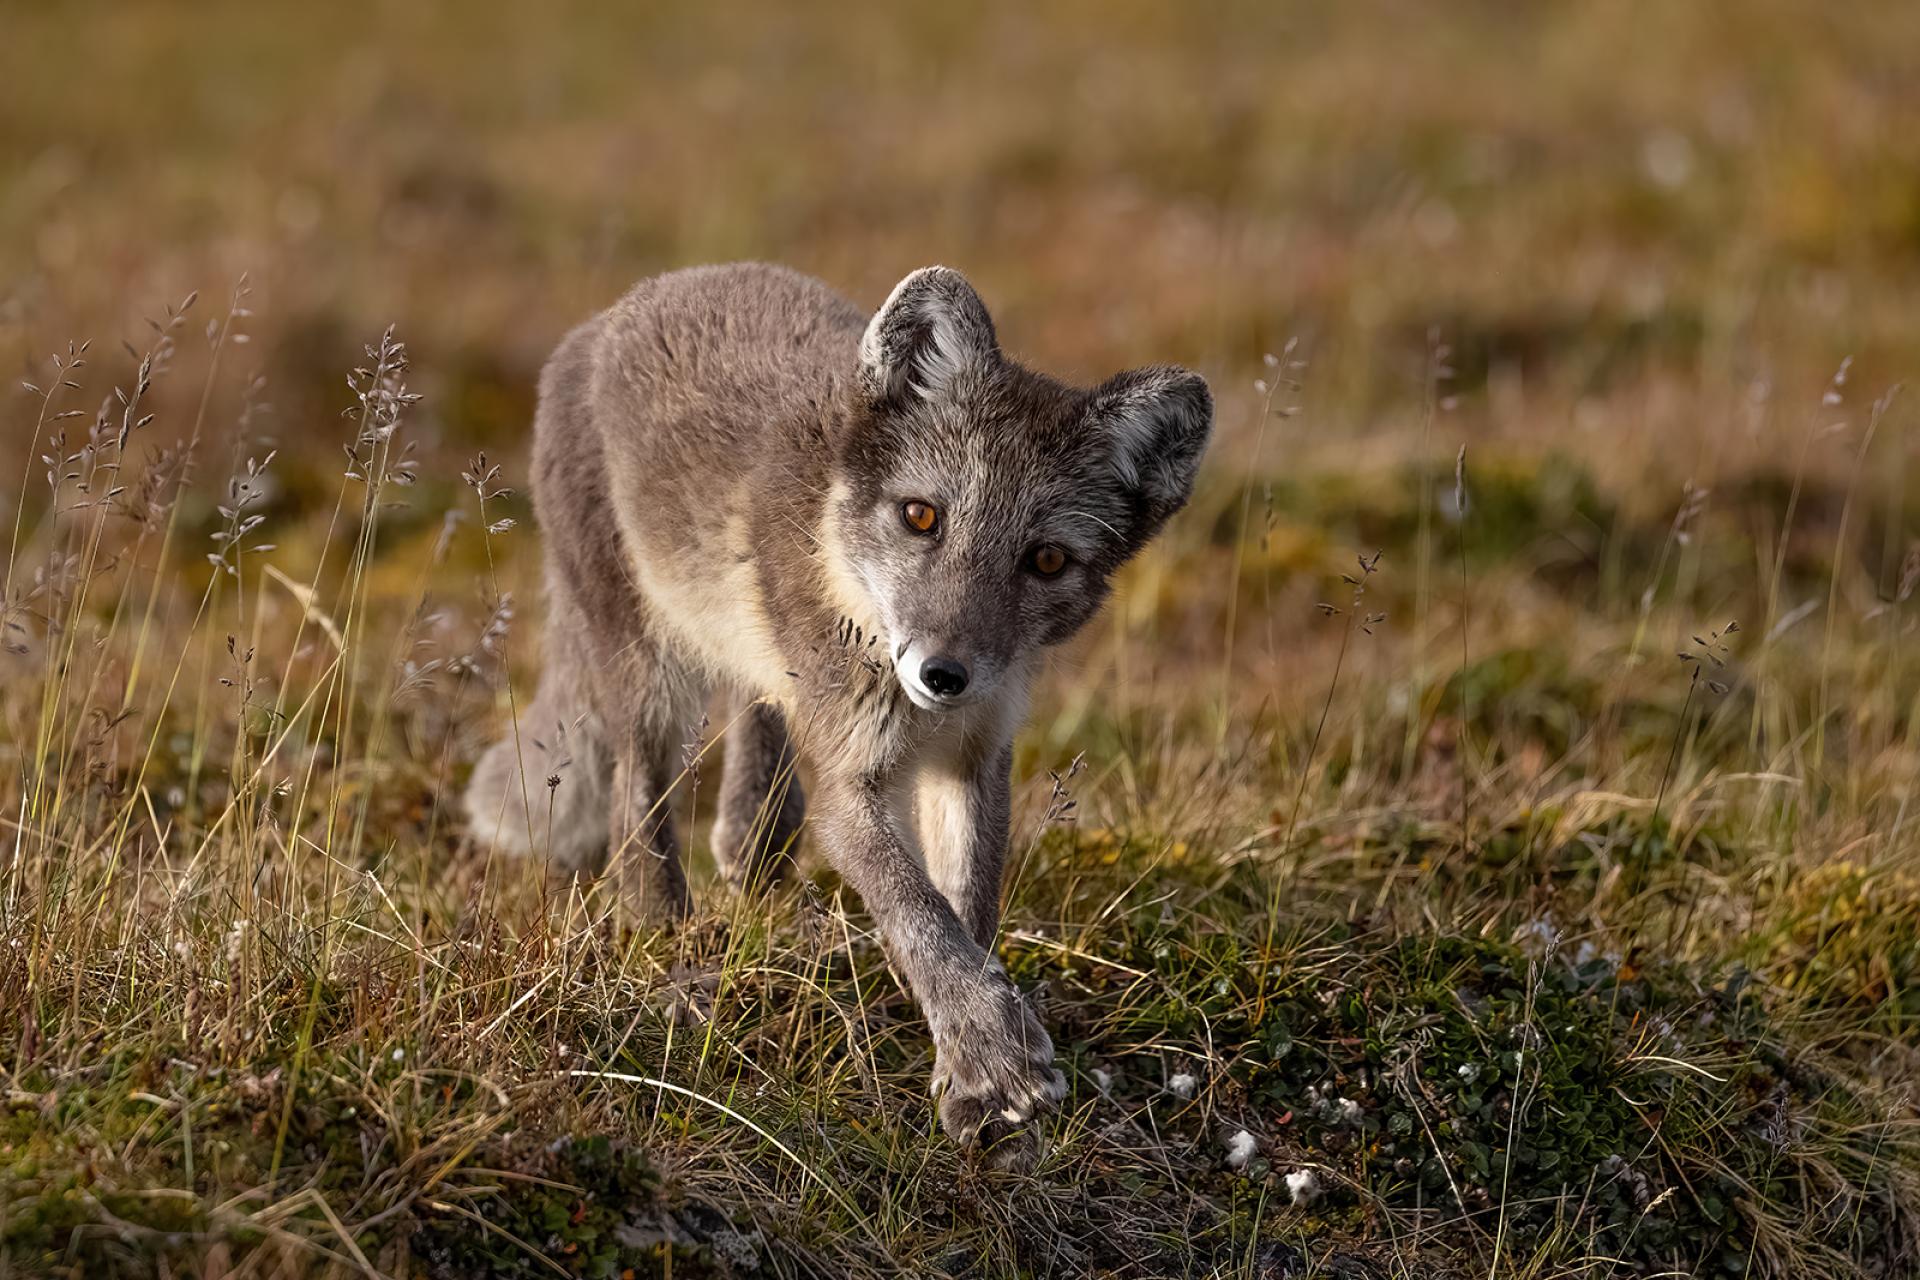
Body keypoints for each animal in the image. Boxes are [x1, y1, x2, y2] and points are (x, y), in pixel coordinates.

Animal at [464, 264, 1205, 1166]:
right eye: (922, 516)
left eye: (1047, 560)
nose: (943, 674)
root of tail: (613, 314)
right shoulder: (849, 782)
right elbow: (918, 910)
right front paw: (994, 1060)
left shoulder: (976, 756)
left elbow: (967, 910)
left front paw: (964, 1072)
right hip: (649, 674)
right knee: (638, 814)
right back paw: (669, 947)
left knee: (755, 717)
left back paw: (751, 846)